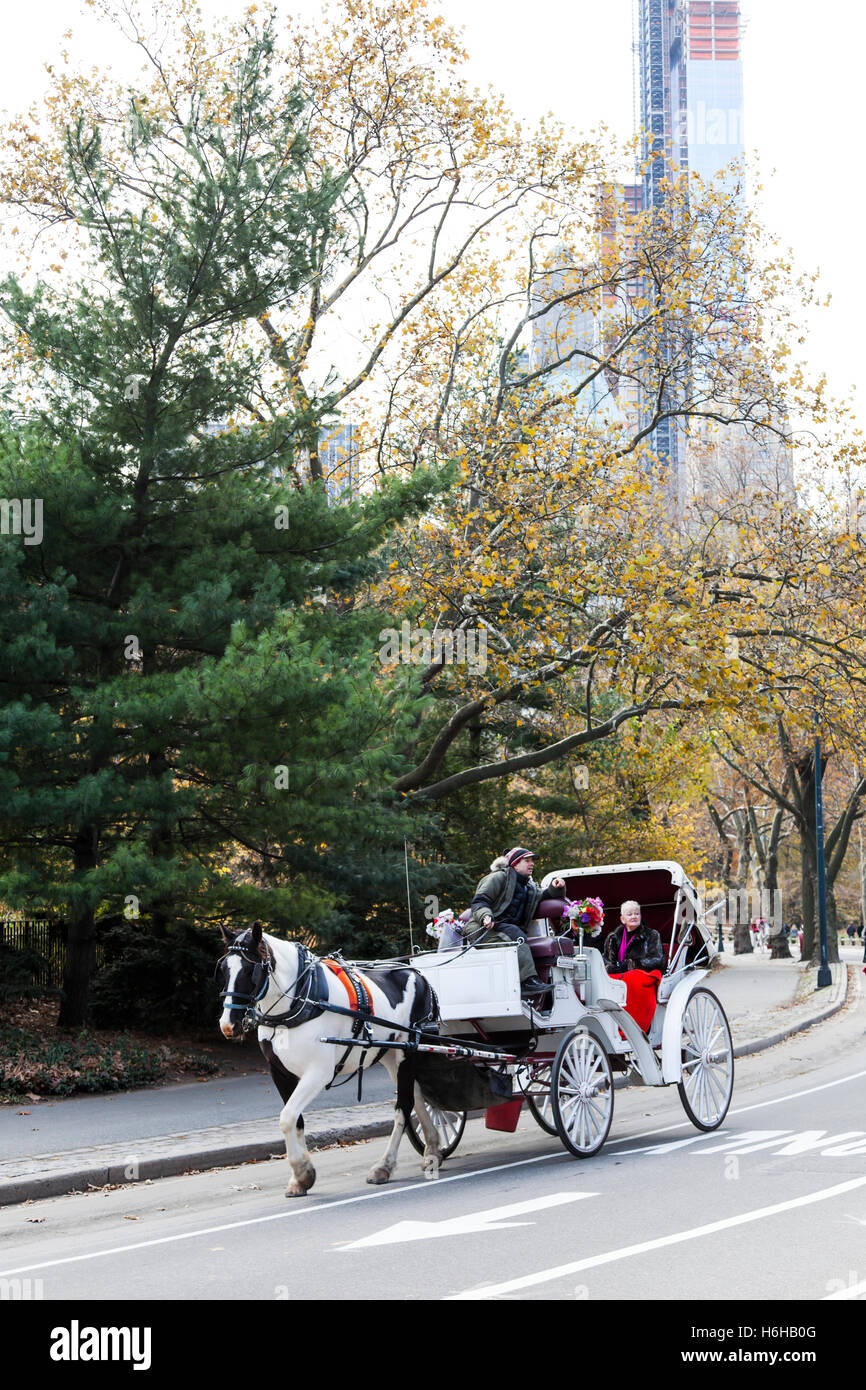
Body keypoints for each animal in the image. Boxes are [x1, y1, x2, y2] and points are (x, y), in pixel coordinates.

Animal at [216, 922, 447, 1195]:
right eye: (223, 969)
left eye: (250, 970)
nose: (228, 1025)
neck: (301, 999)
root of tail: (419, 974)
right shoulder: (279, 1072)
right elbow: (295, 1120)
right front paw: (300, 1178)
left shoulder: (318, 1072)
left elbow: (286, 1118)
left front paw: (302, 1172)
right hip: (391, 1055)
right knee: (418, 1096)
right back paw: (432, 1149)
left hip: (407, 1050)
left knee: (404, 1106)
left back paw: (384, 1166)